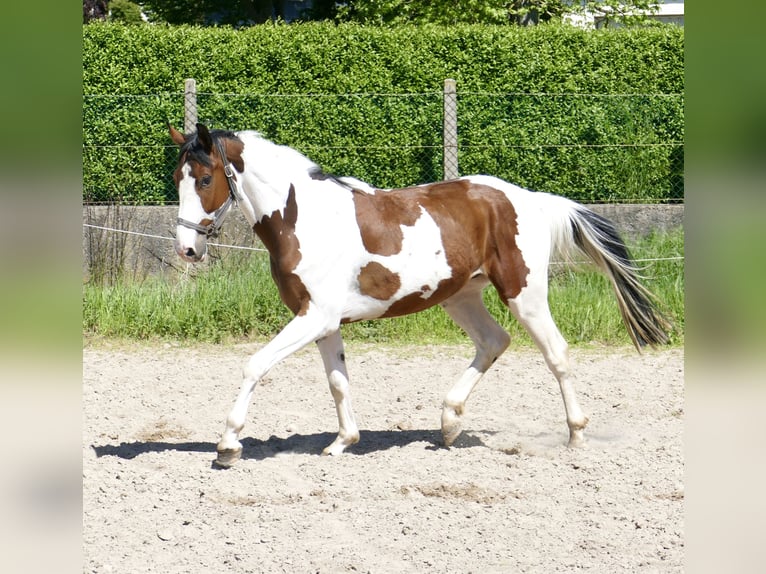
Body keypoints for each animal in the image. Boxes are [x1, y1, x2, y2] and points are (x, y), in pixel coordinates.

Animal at [170, 124, 672, 470]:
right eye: (178, 177)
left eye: (205, 179)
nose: (187, 249)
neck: (302, 218)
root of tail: (532, 199)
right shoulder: (322, 321)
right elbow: (338, 382)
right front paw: (342, 443)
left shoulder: (314, 317)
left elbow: (254, 365)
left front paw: (228, 446)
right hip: (460, 296)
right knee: (494, 342)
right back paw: (449, 424)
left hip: (524, 293)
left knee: (557, 353)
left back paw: (575, 435)